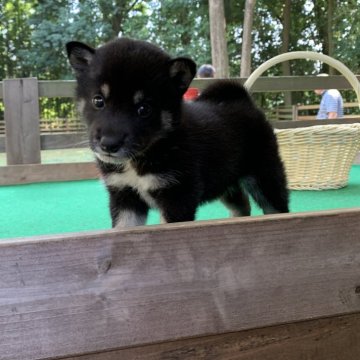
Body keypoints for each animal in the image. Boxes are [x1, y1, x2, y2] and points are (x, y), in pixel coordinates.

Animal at [66, 38, 288, 228]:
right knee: (242, 205)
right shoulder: (124, 195)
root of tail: (243, 99)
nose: (109, 144)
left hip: (265, 176)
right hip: (225, 181)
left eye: (144, 109)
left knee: (277, 208)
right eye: (98, 101)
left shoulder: (178, 197)